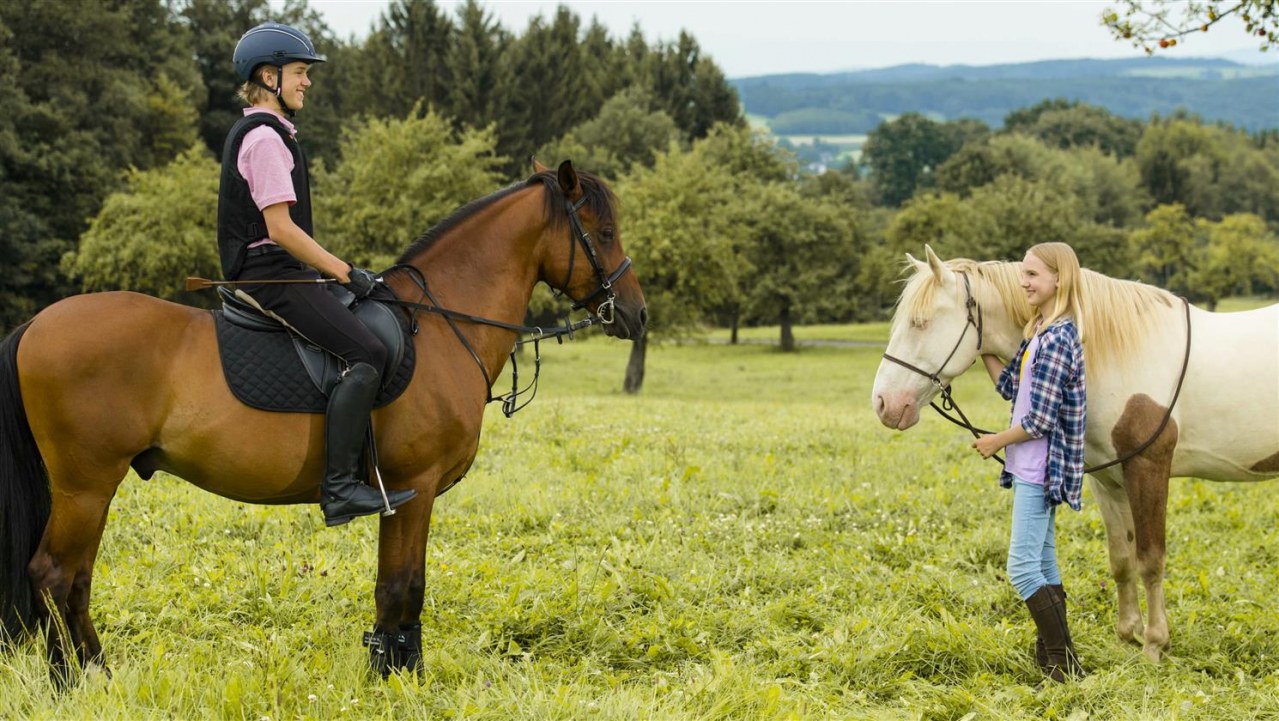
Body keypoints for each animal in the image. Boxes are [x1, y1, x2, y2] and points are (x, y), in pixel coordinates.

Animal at [0, 159, 644, 680]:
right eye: (605, 233)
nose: (636, 314)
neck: (439, 324)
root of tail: (35, 324)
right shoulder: (415, 488)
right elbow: (402, 588)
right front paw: (396, 680)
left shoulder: (403, 496)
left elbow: (399, 588)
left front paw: (395, 669)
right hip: (86, 485)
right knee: (54, 575)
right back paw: (73, 681)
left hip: (90, 488)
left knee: (76, 579)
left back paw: (97, 674)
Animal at [869, 246, 1279, 659]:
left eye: (920, 323)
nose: (884, 403)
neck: (1112, 353)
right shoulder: (1108, 480)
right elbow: (1121, 558)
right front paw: (1127, 635)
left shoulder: (1147, 469)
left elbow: (1150, 559)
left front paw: (1153, 644)